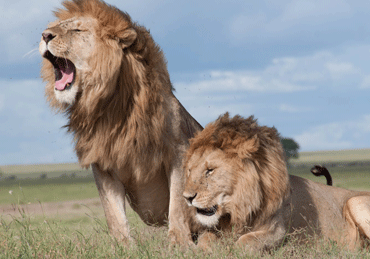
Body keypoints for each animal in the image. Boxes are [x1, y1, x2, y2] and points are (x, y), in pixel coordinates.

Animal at [39, 0, 202, 246]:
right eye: (53, 28)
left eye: (77, 30)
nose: (45, 35)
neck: (112, 107)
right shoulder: (103, 163)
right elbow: (113, 213)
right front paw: (123, 246)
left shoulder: (179, 151)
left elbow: (178, 204)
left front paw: (179, 243)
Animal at [182, 113, 370, 252]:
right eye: (190, 170)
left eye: (210, 170)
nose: (187, 197)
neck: (240, 207)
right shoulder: (214, 229)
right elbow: (205, 240)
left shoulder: (278, 231)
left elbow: (246, 240)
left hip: (354, 201)